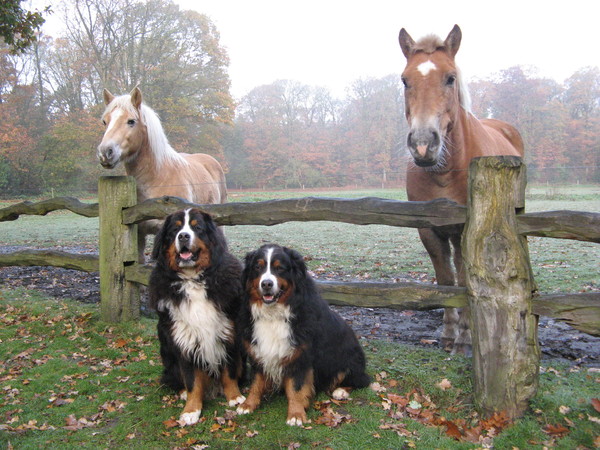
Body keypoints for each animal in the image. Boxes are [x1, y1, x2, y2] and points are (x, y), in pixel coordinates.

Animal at [150, 207, 246, 426]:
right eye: (175, 230)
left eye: (197, 228)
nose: (183, 236)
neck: (193, 279)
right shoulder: (184, 339)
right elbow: (192, 380)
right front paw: (191, 410)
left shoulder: (228, 334)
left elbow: (229, 372)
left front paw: (235, 397)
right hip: (169, 362)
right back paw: (184, 393)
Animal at [236, 243, 370, 426]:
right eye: (258, 267)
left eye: (280, 268)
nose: (266, 284)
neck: (274, 315)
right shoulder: (258, 353)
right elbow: (256, 383)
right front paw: (248, 405)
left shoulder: (300, 355)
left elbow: (296, 388)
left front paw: (296, 414)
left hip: (348, 359)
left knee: (360, 380)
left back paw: (341, 391)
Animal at [398, 24, 524, 356]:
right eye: (405, 80)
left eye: (450, 78)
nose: (423, 144)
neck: (446, 171)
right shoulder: (429, 230)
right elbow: (446, 279)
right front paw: (448, 332)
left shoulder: (471, 229)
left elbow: (468, 280)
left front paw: (466, 337)